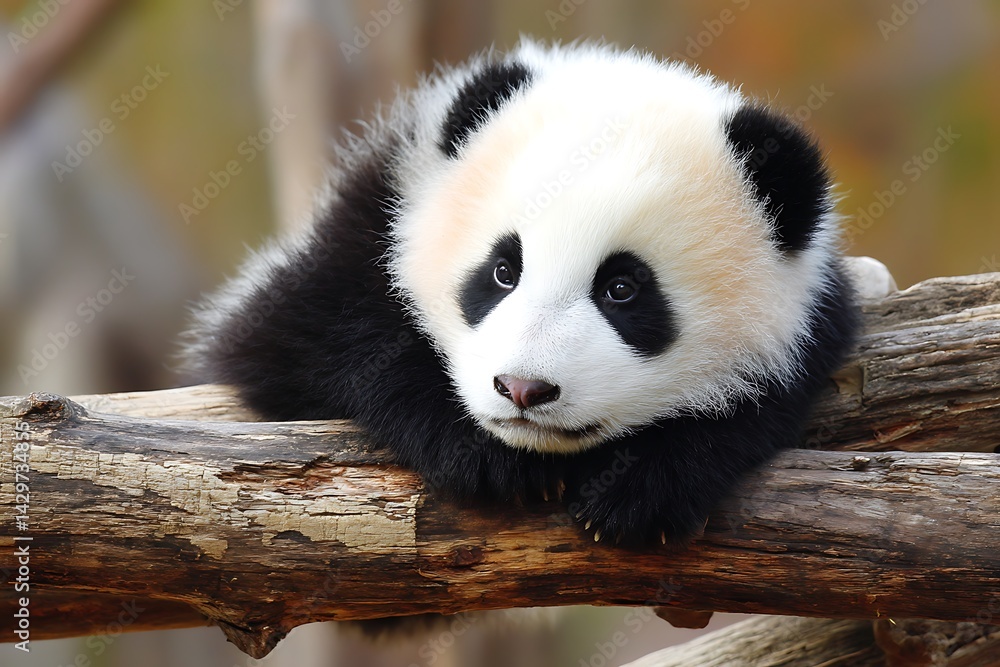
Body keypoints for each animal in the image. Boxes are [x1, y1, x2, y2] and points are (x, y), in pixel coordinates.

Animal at [183, 39, 858, 546]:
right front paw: (482, 458)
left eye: (622, 289)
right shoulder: (370, 216)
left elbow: (766, 400)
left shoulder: (815, 314)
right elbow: (315, 339)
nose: (524, 389)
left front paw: (639, 488)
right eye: (503, 270)